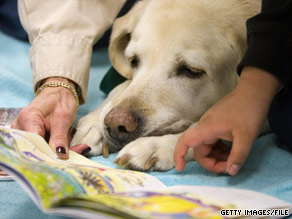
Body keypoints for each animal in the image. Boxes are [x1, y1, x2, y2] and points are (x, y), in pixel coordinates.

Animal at [70, 0, 260, 171]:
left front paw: (157, 146)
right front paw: (94, 125)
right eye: (133, 61)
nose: (116, 126)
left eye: (191, 71)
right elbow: (122, 86)